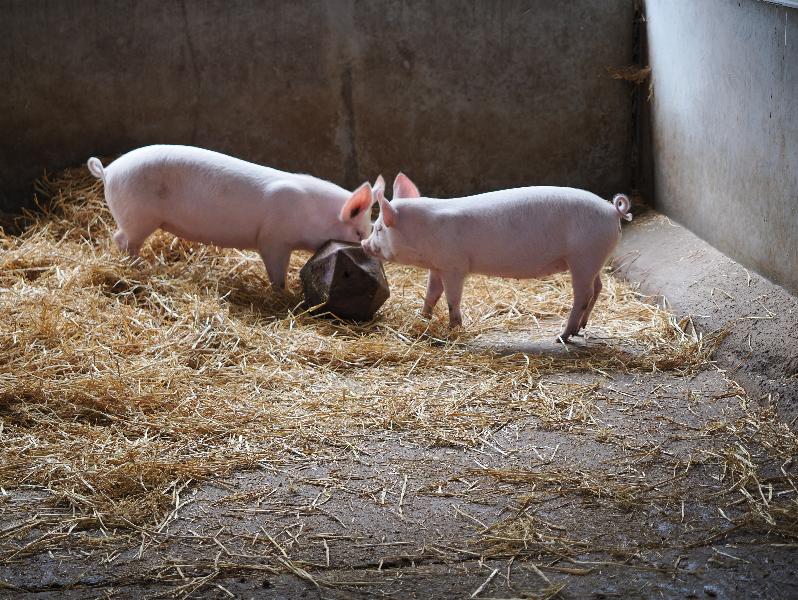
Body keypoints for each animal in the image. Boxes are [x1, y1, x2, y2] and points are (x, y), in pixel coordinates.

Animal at [87, 145, 383, 289]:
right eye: (358, 232)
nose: (370, 252)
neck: (310, 212)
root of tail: (108, 171)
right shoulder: (273, 239)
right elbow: (276, 272)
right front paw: (283, 293)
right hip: (138, 217)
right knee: (121, 239)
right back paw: (138, 267)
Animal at [361, 173, 633, 342]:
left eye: (379, 228)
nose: (364, 244)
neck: (425, 230)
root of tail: (612, 210)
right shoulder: (437, 266)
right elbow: (431, 294)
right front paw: (423, 317)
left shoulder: (454, 266)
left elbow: (452, 299)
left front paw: (453, 328)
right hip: (593, 259)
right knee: (598, 287)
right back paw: (580, 329)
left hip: (583, 257)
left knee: (583, 295)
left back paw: (562, 336)